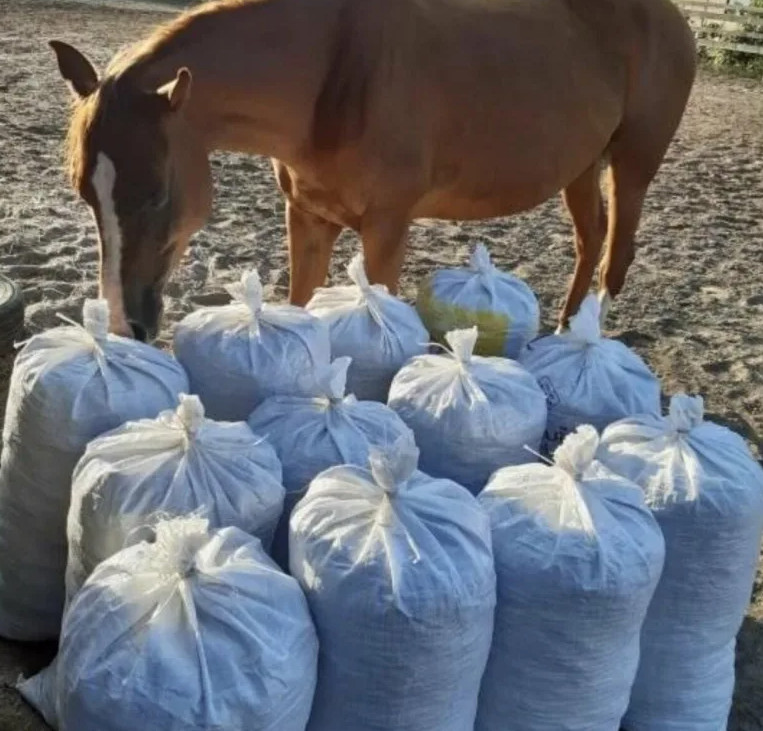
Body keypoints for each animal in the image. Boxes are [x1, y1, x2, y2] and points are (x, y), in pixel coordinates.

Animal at [50, 0, 700, 342]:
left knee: (616, 253)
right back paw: (565, 329)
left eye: (157, 194)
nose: (123, 322)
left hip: (633, 165)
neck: (335, 77)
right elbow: (300, 301)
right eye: (85, 194)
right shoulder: (308, 217)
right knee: (589, 240)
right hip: (581, 166)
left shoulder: (387, 228)